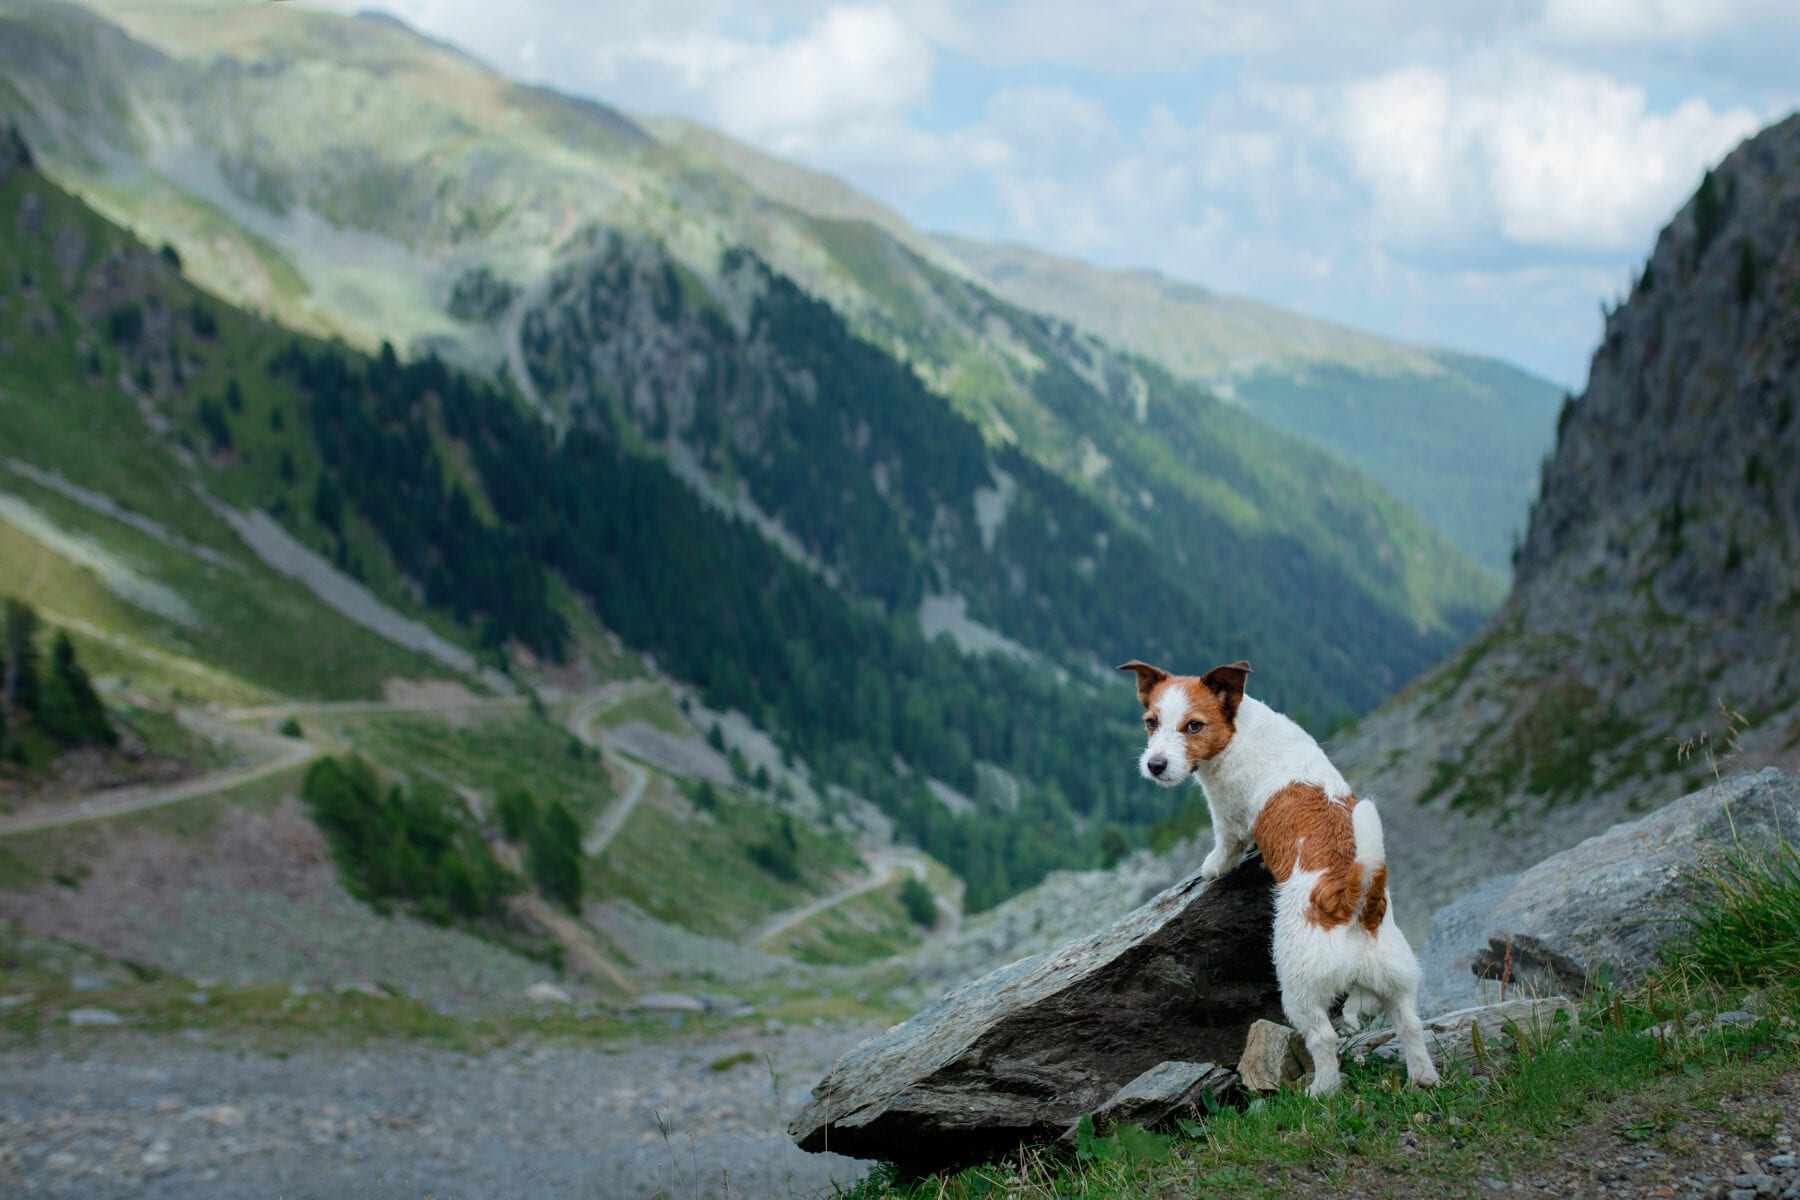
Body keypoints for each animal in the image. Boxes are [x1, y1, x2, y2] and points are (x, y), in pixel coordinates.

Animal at [1116, 658, 1440, 1101]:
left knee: (1323, 1037)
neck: (1240, 729)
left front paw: (1212, 867)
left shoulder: (1228, 814)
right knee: (1409, 1023)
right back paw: (1423, 1078)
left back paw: (1321, 1090)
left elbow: (1227, 843)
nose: (1155, 765)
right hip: (1396, 977)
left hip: (1299, 985)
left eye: (1194, 726)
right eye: (1151, 721)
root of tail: (1354, 899)